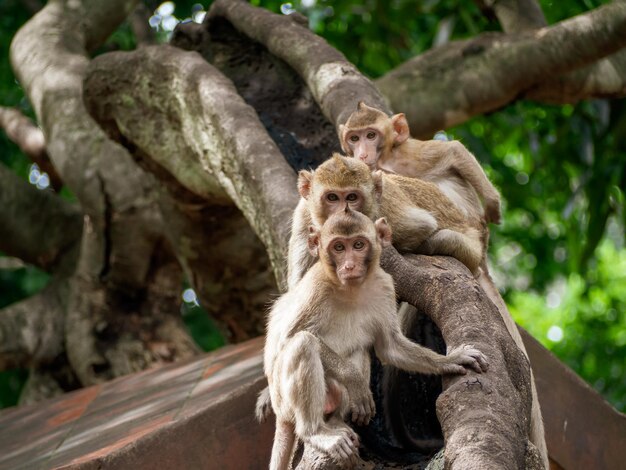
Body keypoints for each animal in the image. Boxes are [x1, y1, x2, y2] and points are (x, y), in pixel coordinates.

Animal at [264, 209, 488, 470]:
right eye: (338, 247)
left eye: (358, 245)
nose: (349, 265)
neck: (350, 289)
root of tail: (280, 414)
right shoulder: (315, 287)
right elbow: (287, 339)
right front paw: (356, 381)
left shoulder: (385, 284)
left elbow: (389, 346)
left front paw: (451, 359)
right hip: (283, 398)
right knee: (303, 343)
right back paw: (316, 432)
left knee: (358, 351)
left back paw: (337, 420)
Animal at [338, 102, 500, 227]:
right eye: (354, 138)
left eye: (371, 135)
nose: (362, 154)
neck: (384, 160)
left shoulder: (409, 155)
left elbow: (454, 150)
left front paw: (492, 203)